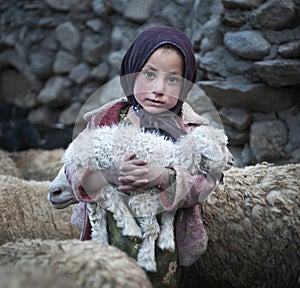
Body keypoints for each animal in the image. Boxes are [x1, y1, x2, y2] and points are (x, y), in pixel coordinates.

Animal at [61, 122, 232, 272]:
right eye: (223, 146)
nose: (232, 160)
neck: (175, 157)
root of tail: (72, 151)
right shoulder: (144, 199)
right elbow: (152, 229)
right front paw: (147, 260)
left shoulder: (171, 193)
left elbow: (169, 215)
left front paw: (167, 240)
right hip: (97, 173)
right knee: (110, 197)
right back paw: (131, 228)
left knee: (97, 217)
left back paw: (101, 244)